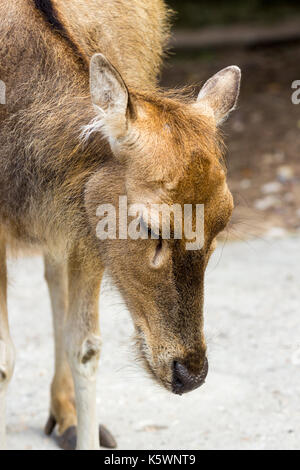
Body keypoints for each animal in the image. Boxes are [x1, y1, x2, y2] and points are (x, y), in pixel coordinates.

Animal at [0, 0, 240, 450]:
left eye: (223, 221)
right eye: (148, 226)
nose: (190, 373)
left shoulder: (84, 213)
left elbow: (86, 347)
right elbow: (5, 359)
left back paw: (66, 416)